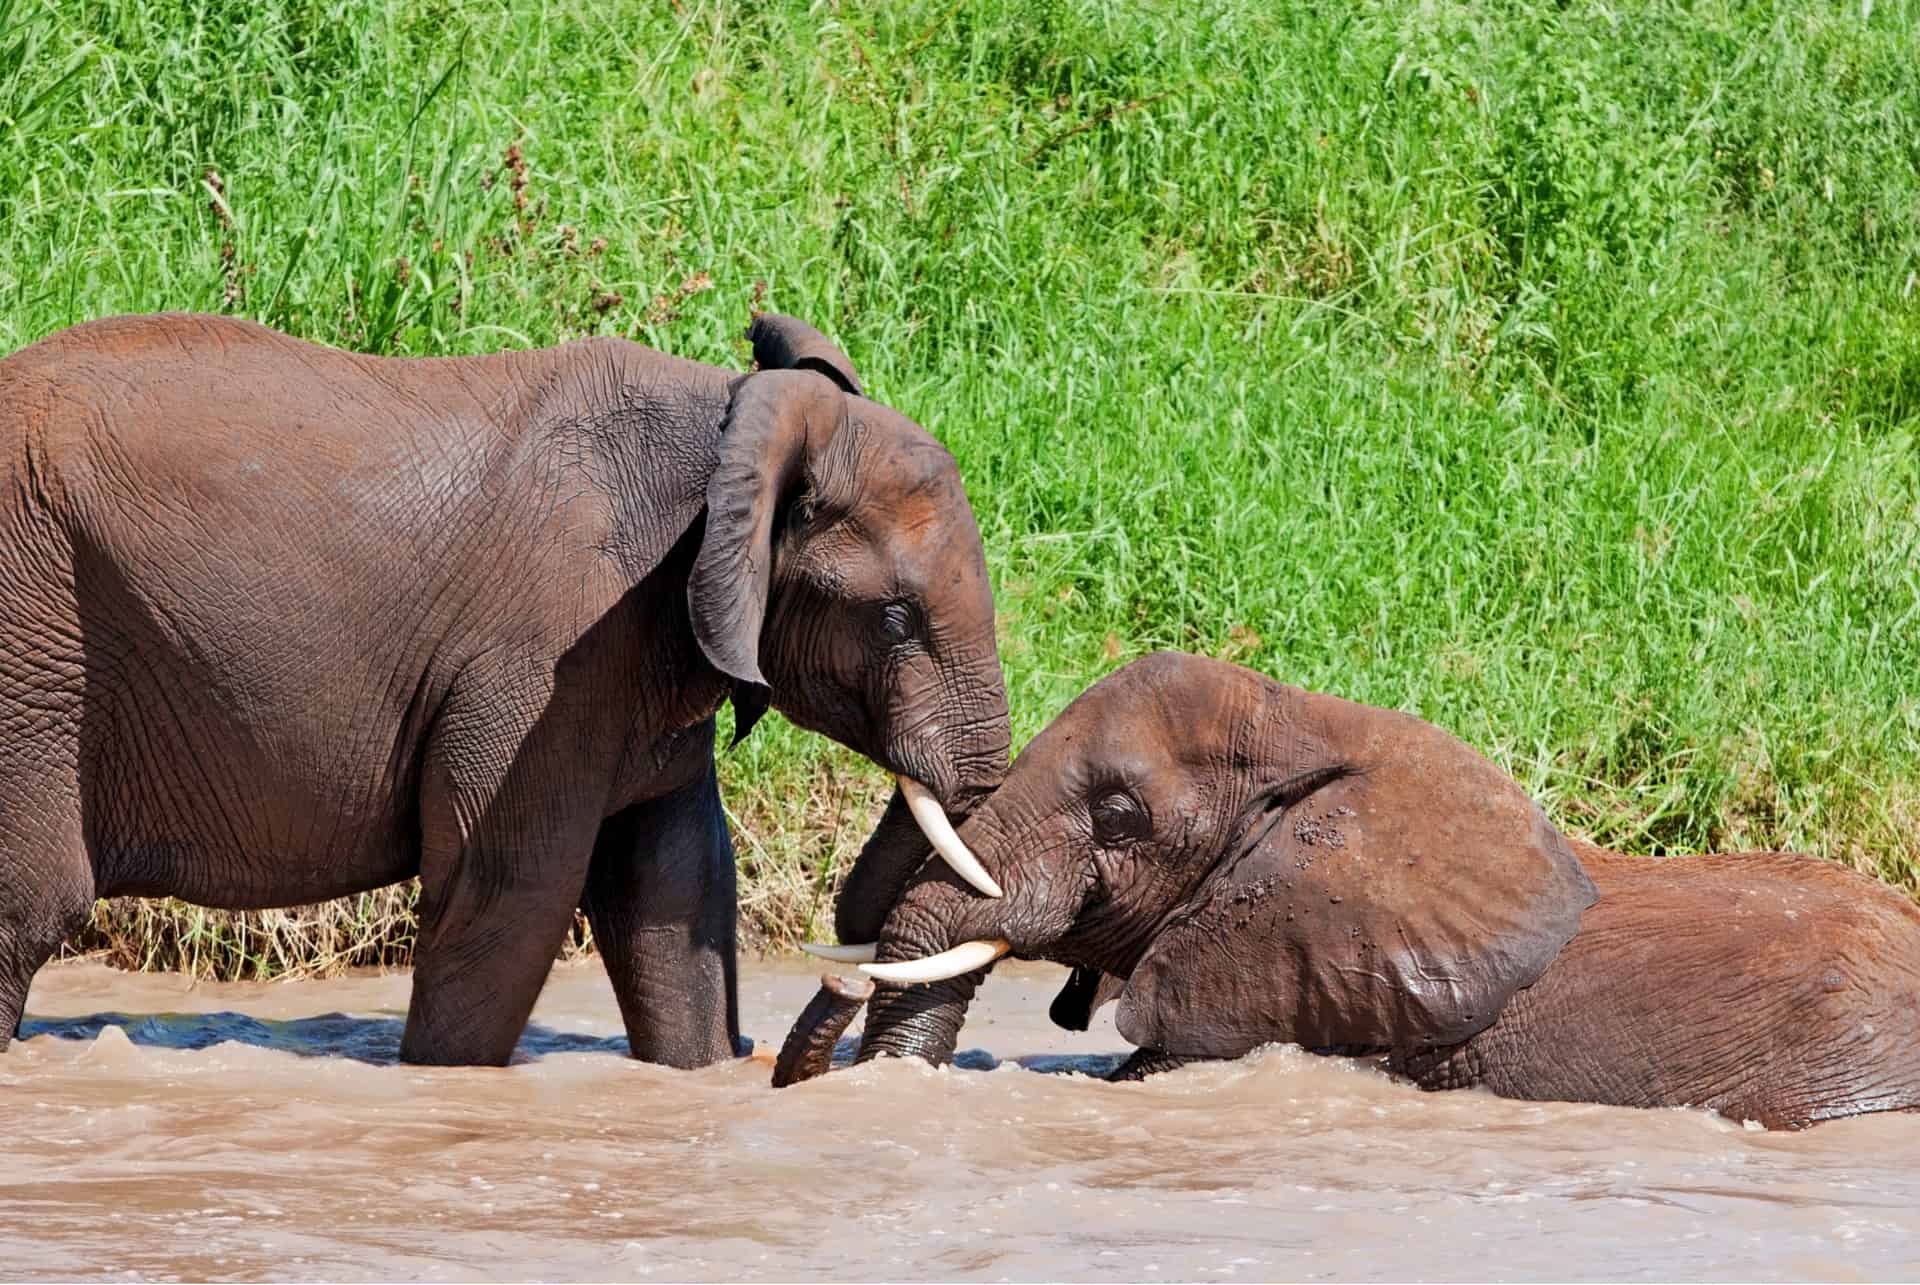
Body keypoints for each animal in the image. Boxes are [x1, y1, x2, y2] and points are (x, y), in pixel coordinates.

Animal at [0, 307, 1013, 1060]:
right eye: (896, 620)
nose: (836, 973)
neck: (733, 422)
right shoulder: (550, 657)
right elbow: (512, 890)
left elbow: (675, 885)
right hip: (33, 634)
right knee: (30, 901)